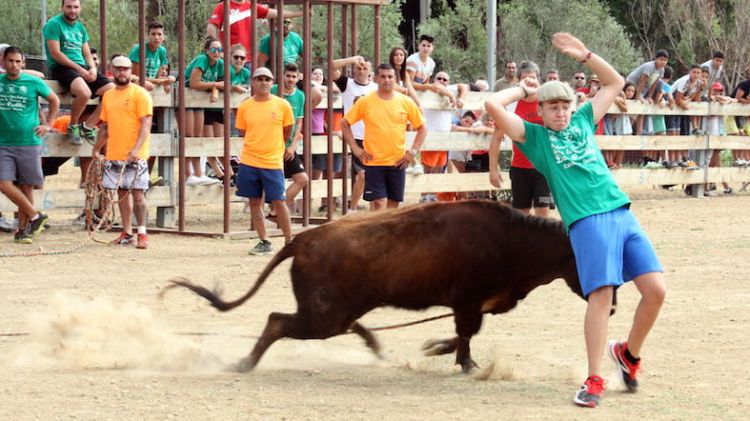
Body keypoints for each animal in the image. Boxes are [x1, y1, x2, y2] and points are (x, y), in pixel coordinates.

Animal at [164, 200, 592, 370]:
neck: (513, 240)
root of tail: (303, 239)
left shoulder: (472, 305)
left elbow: (463, 334)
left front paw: (439, 349)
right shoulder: (469, 302)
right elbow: (467, 334)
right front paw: (466, 364)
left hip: (336, 311)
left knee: (340, 324)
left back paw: (375, 346)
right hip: (324, 316)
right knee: (276, 321)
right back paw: (244, 363)